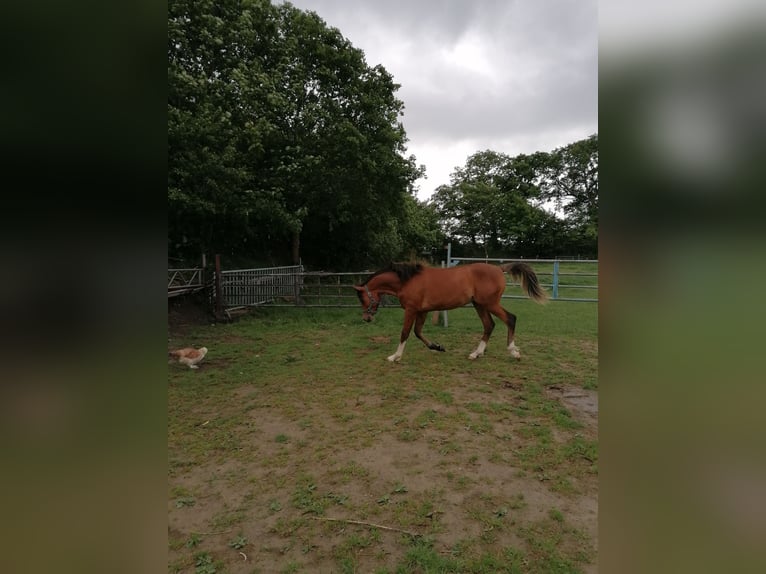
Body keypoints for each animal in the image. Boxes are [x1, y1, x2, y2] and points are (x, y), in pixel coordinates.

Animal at [353, 261, 547, 362]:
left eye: (362, 299)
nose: (366, 318)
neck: (407, 281)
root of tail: (499, 268)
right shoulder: (422, 311)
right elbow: (417, 332)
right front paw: (437, 347)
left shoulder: (411, 310)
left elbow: (405, 332)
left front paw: (395, 356)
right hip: (479, 305)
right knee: (489, 325)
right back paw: (476, 353)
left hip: (490, 303)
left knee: (510, 319)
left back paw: (513, 351)